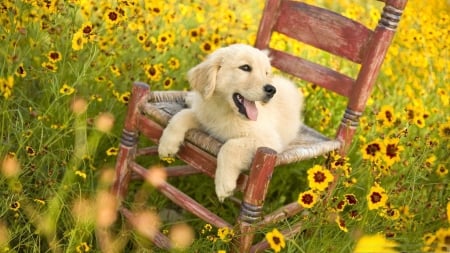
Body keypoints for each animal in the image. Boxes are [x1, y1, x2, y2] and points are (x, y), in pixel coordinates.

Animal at [158, 43, 302, 202]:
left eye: (266, 73)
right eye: (245, 67)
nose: (271, 90)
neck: (226, 110)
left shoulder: (268, 140)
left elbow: (230, 146)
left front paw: (224, 184)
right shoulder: (206, 118)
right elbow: (180, 116)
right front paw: (167, 145)